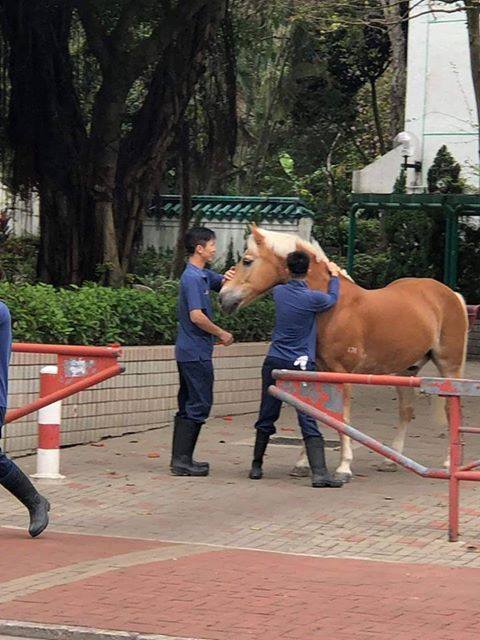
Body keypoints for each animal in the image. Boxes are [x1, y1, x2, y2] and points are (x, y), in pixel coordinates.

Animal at [220, 225, 468, 480]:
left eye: (247, 261)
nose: (222, 297)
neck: (332, 306)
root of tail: (451, 294)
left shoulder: (342, 374)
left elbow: (341, 417)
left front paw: (343, 467)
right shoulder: (316, 373)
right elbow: (314, 412)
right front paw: (303, 464)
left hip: (449, 367)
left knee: (451, 410)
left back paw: (449, 464)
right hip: (405, 371)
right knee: (406, 411)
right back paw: (390, 462)